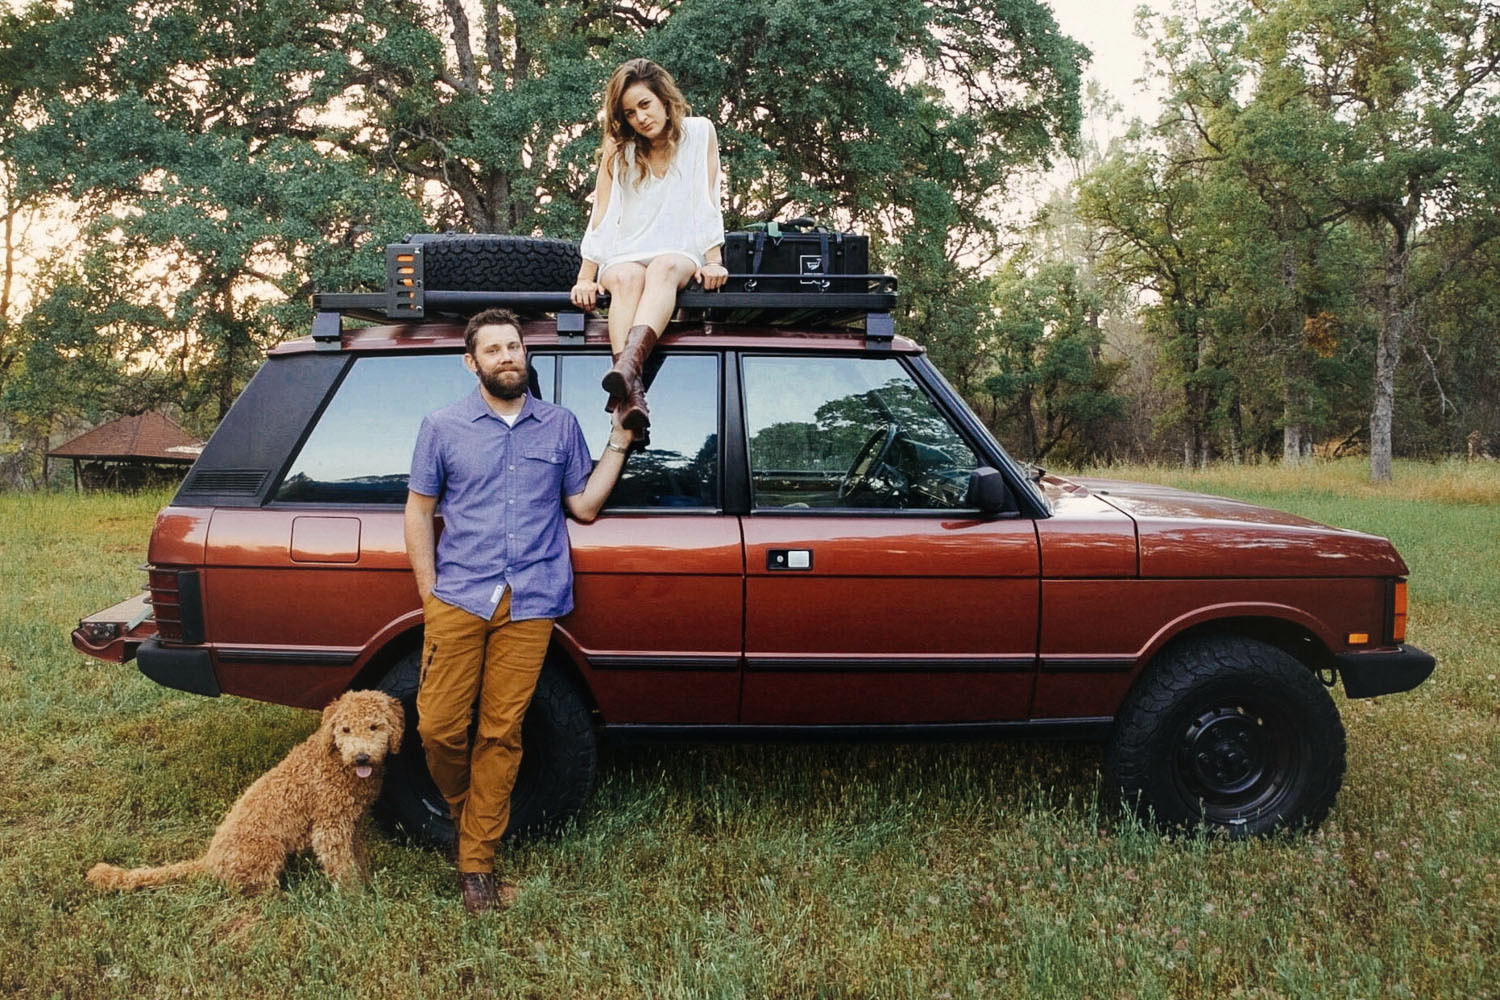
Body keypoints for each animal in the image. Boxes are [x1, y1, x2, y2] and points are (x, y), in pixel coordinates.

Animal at [87, 692, 405, 893]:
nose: (361, 757)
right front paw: (355, 899)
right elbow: (341, 866)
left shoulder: (354, 822)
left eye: (374, 726)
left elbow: (358, 857)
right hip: (266, 849)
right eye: (345, 729)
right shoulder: (330, 827)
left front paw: (367, 883)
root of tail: (209, 860)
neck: (336, 761)